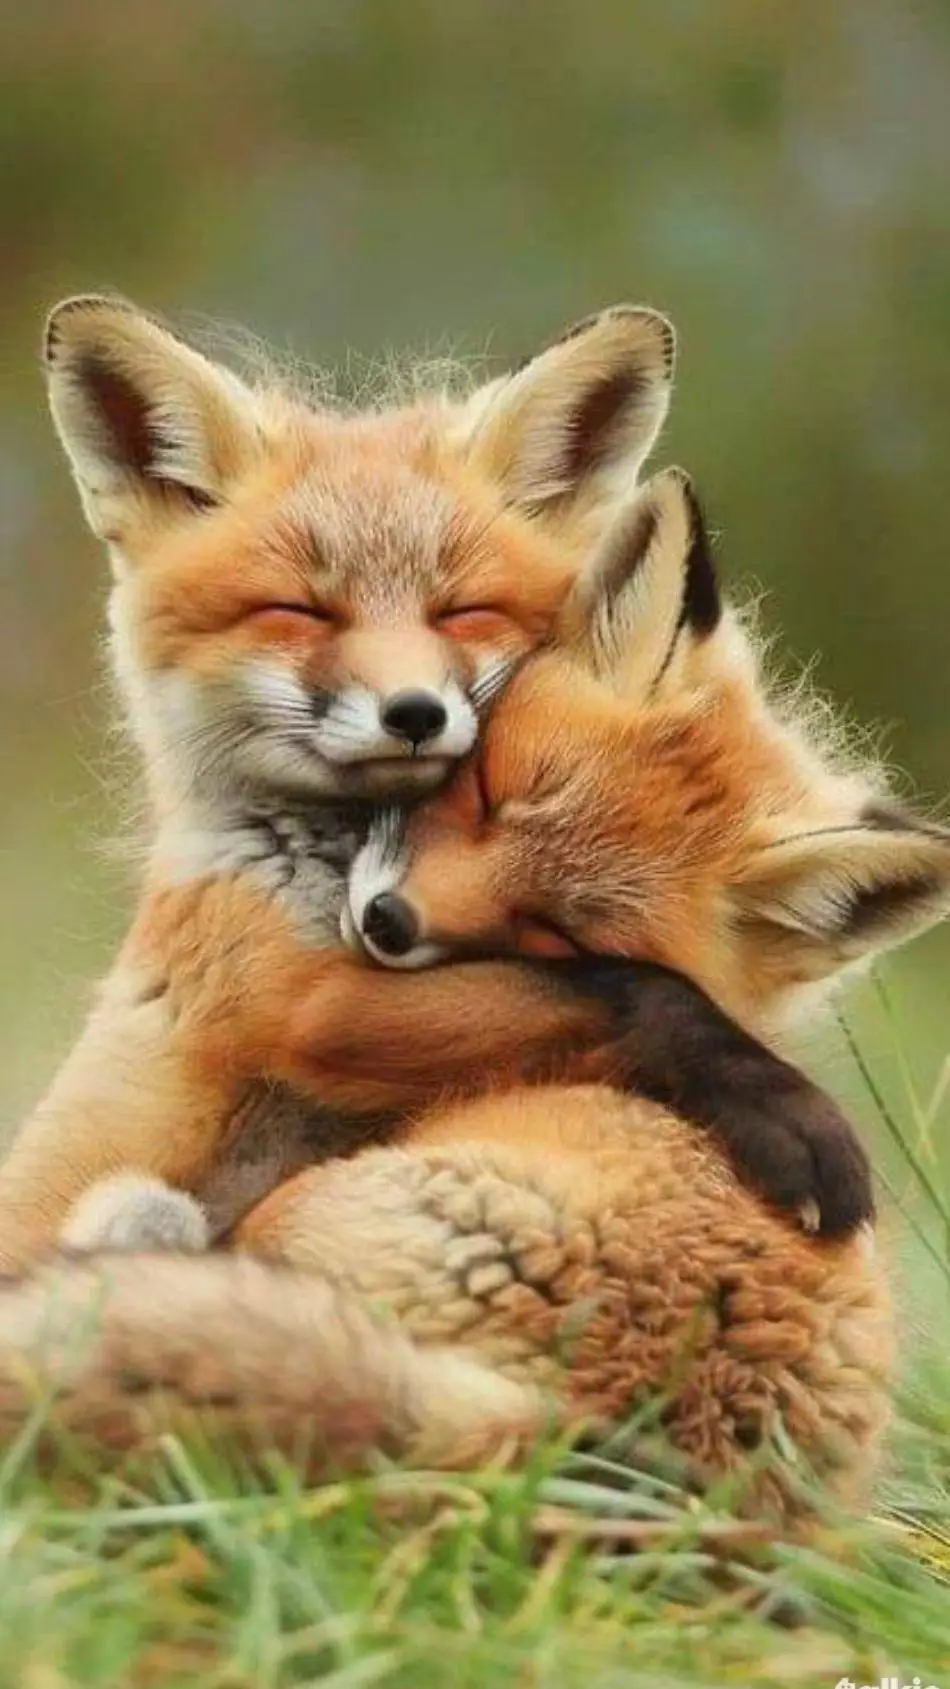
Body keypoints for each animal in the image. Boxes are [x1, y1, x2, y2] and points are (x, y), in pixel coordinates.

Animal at [0, 294, 870, 1268]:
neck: (326, 867)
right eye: (300, 611)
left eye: (461, 610)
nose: (413, 711)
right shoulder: (296, 997)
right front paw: (790, 1111)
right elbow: (627, 987)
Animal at [0, 465, 930, 1523]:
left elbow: (629, 988)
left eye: (554, 928)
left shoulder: (319, 1005)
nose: (389, 922)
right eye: (484, 790)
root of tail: (597, 1440)